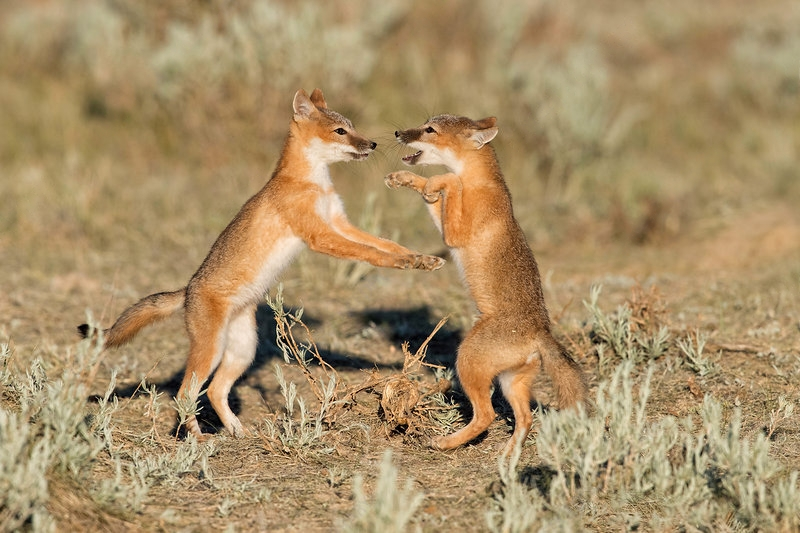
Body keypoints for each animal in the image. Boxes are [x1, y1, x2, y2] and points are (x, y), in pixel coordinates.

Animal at [79, 87, 444, 436]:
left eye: (353, 127)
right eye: (341, 131)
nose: (371, 143)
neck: (314, 184)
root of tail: (186, 290)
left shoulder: (340, 223)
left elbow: (386, 244)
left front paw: (420, 259)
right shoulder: (320, 235)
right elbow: (371, 254)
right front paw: (405, 264)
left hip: (243, 351)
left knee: (215, 391)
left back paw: (239, 433)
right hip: (211, 352)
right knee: (185, 394)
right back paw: (197, 439)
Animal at [386, 114, 588, 450]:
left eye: (430, 130)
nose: (398, 132)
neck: (478, 182)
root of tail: (541, 332)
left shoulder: (454, 234)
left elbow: (448, 181)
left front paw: (433, 183)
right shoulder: (446, 228)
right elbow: (435, 194)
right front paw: (409, 180)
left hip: (467, 360)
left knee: (487, 415)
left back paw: (445, 442)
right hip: (509, 382)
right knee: (525, 419)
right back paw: (507, 456)